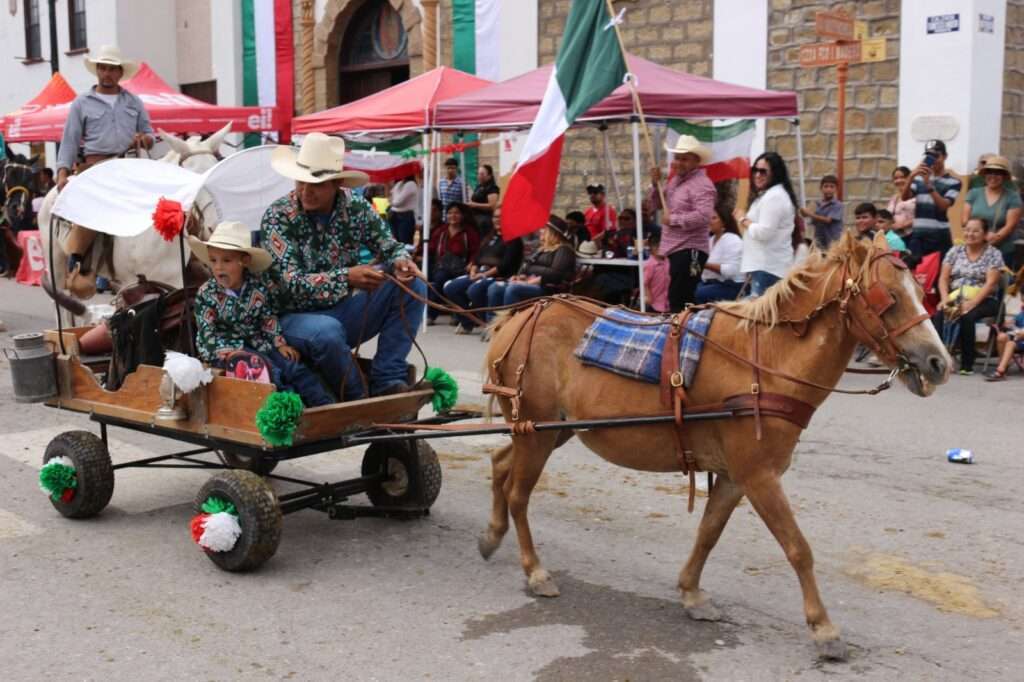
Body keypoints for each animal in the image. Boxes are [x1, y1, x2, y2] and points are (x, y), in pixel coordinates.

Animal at [479, 229, 950, 659]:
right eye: (890, 297)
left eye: (920, 291)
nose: (939, 363)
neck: (765, 363)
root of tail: (518, 316)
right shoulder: (759, 476)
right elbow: (798, 548)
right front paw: (823, 628)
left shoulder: (735, 477)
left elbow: (708, 533)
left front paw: (691, 592)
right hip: (538, 431)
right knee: (518, 492)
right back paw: (535, 570)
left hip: (549, 430)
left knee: (501, 465)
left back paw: (492, 535)